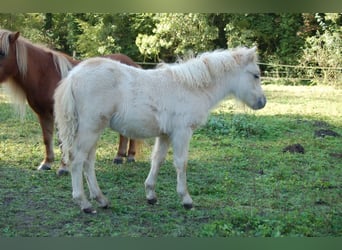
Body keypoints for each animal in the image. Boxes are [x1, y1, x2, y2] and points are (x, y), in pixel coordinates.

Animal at [0, 29, 139, 174]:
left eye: (2, 53)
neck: (46, 75)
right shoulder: (43, 114)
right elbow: (47, 139)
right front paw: (47, 163)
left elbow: (62, 141)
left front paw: (63, 168)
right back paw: (120, 156)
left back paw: (128, 156)